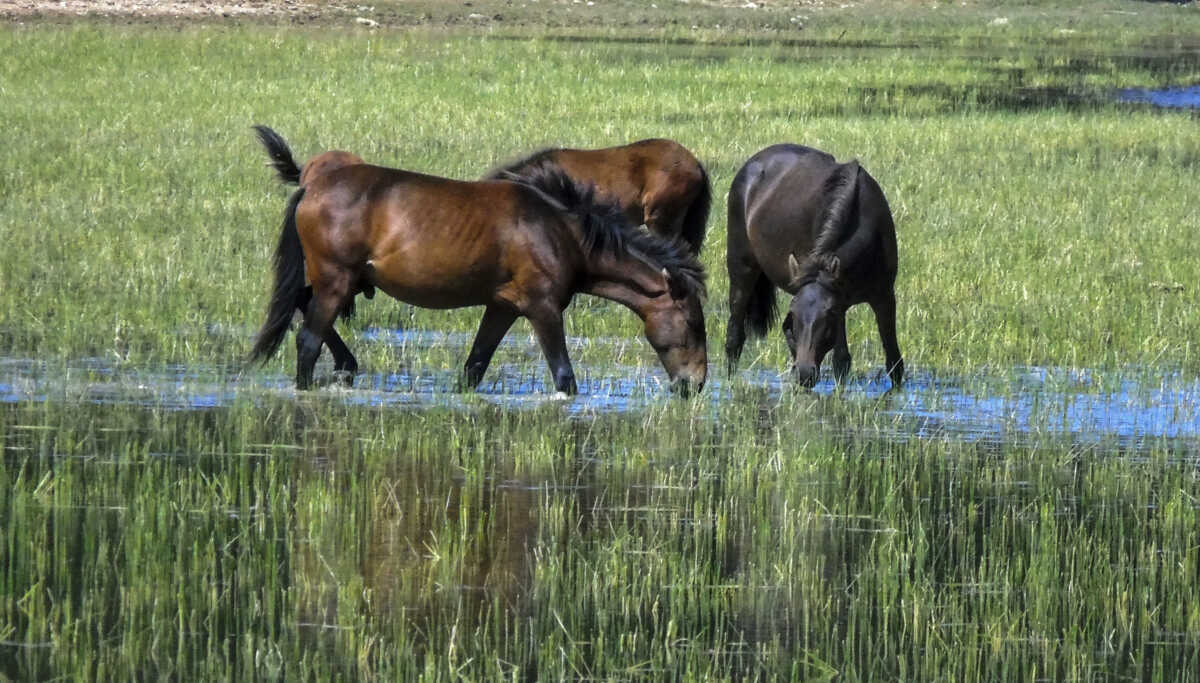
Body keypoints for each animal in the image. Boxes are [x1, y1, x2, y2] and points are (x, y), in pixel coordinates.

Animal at [724, 142, 902, 388]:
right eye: (795, 315)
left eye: (829, 315)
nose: (805, 373)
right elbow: (841, 361)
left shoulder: (882, 297)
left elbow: (894, 362)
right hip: (742, 272)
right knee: (735, 336)